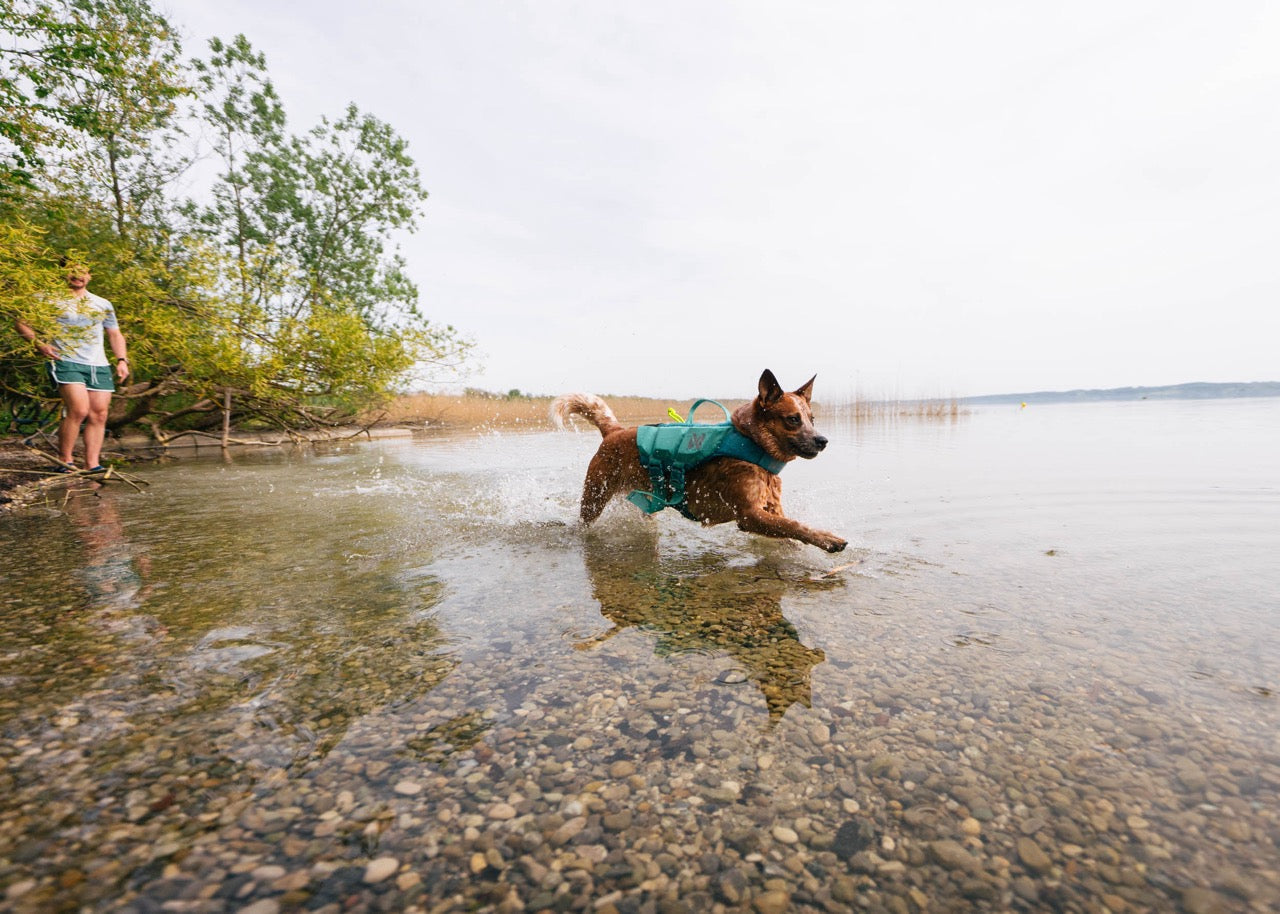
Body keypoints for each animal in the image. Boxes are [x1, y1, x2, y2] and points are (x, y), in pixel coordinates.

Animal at [552, 366, 844, 553]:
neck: (752, 446)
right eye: (793, 419)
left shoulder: (771, 510)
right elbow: (795, 526)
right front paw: (828, 539)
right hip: (594, 497)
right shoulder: (748, 515)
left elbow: (790, 528)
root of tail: (614, 431)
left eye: (812, 419)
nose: (823, 440)